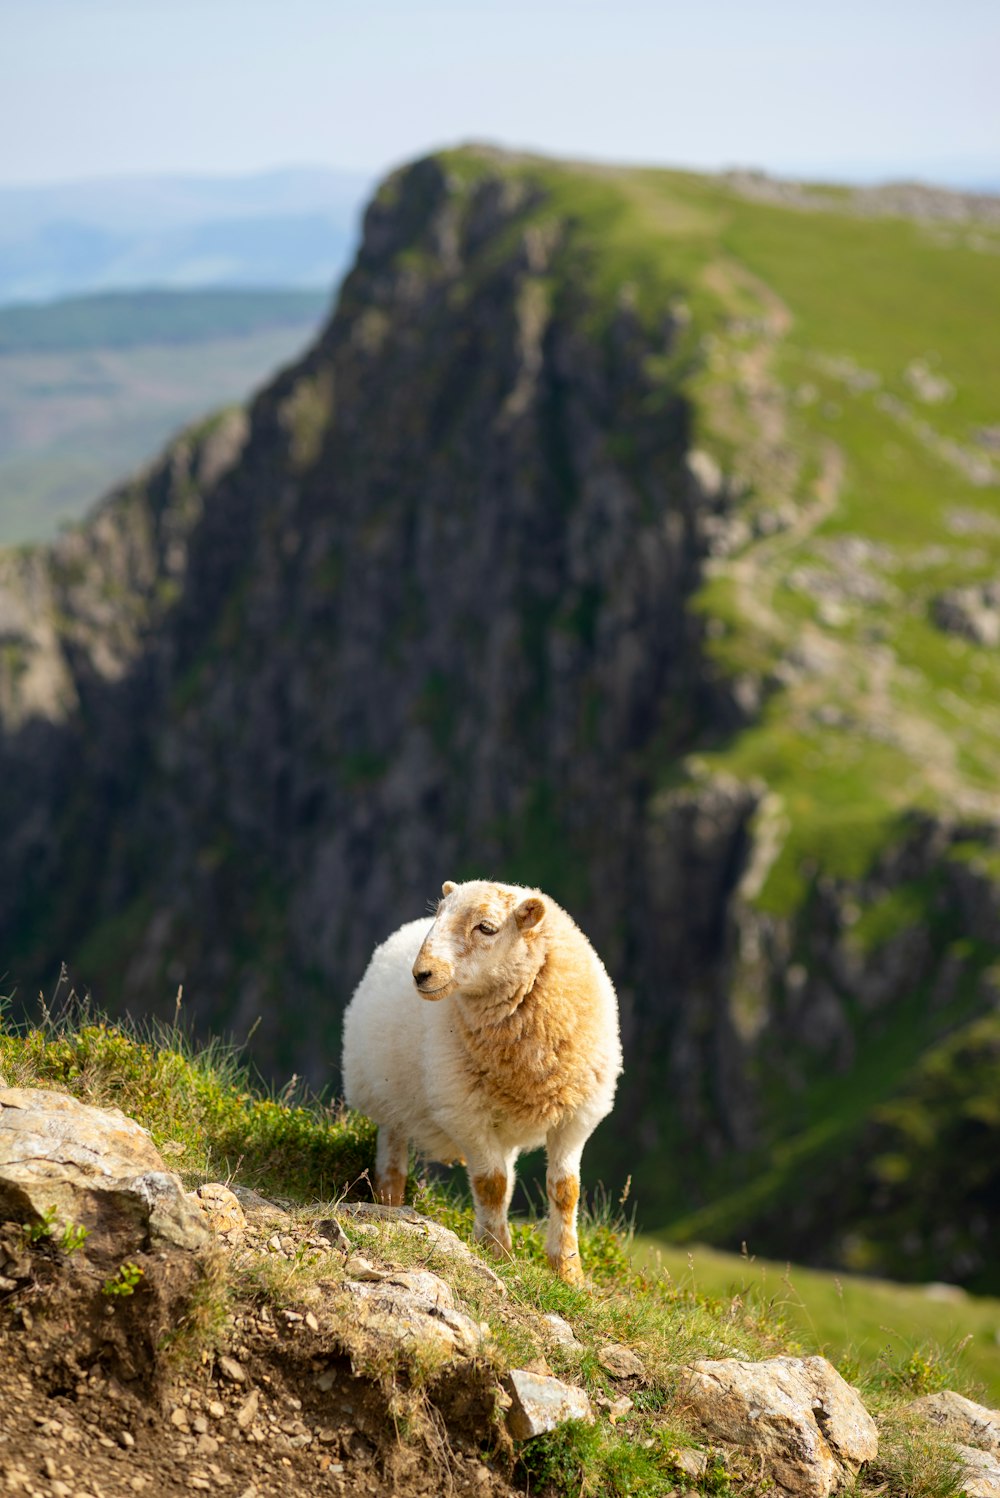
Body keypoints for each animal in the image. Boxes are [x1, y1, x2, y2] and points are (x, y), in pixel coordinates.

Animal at [344, 874, 625, 1288]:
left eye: (487, 928)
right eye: (440, 915)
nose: (421, 974)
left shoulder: (577, 1114)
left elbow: (564, 1190)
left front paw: (568, 1270)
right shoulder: (465, 1112)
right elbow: (491, 1185)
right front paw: (497, 1254)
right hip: (386, 1097)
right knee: (392, 1157)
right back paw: (390, 1205)